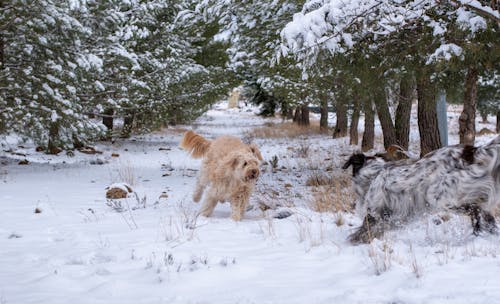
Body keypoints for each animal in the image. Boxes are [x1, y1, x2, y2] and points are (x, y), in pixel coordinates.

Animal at [344, 137, 500, 243]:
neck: (375, 173)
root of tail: (472, 152)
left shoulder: (375, 215)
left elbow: (363, 232)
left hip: (438, 196)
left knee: (476, 210)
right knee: (485, 214)